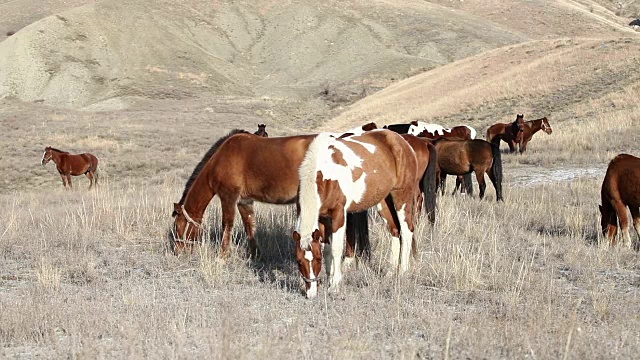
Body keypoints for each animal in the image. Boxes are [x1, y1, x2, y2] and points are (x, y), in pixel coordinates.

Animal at [292, 129, 420, 298]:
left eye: (317, 260)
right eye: (299, 261)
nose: (311, 293)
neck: (325, 172)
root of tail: (403, 142)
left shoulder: (339, 214)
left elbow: (336, 248)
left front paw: (335, 285)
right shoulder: (323, 217)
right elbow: (327, 249)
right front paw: (329, 279)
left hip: (402, 196)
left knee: (406, 230)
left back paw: (403, 271)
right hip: (384, 202)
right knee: (395, 230)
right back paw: (391, 272)